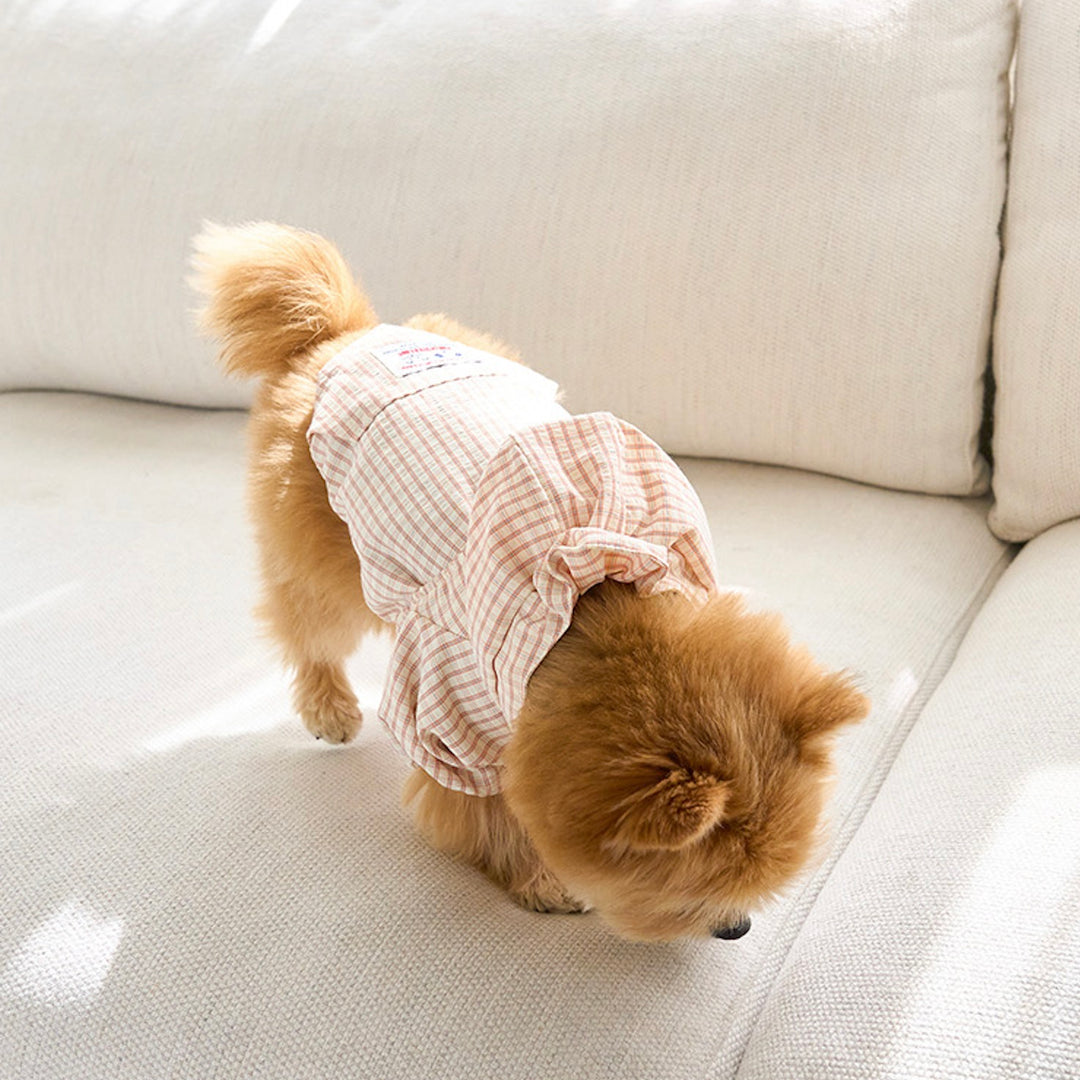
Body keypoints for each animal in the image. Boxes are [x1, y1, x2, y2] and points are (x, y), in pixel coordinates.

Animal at [191, 222, 868, 942]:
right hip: (326, 560)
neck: (590, 602)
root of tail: (343, 334)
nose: (737, 929)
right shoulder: (448, 710)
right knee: (307, 631)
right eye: (690, 904)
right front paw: (538, 880)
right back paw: (330, 710)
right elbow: (484, 813)